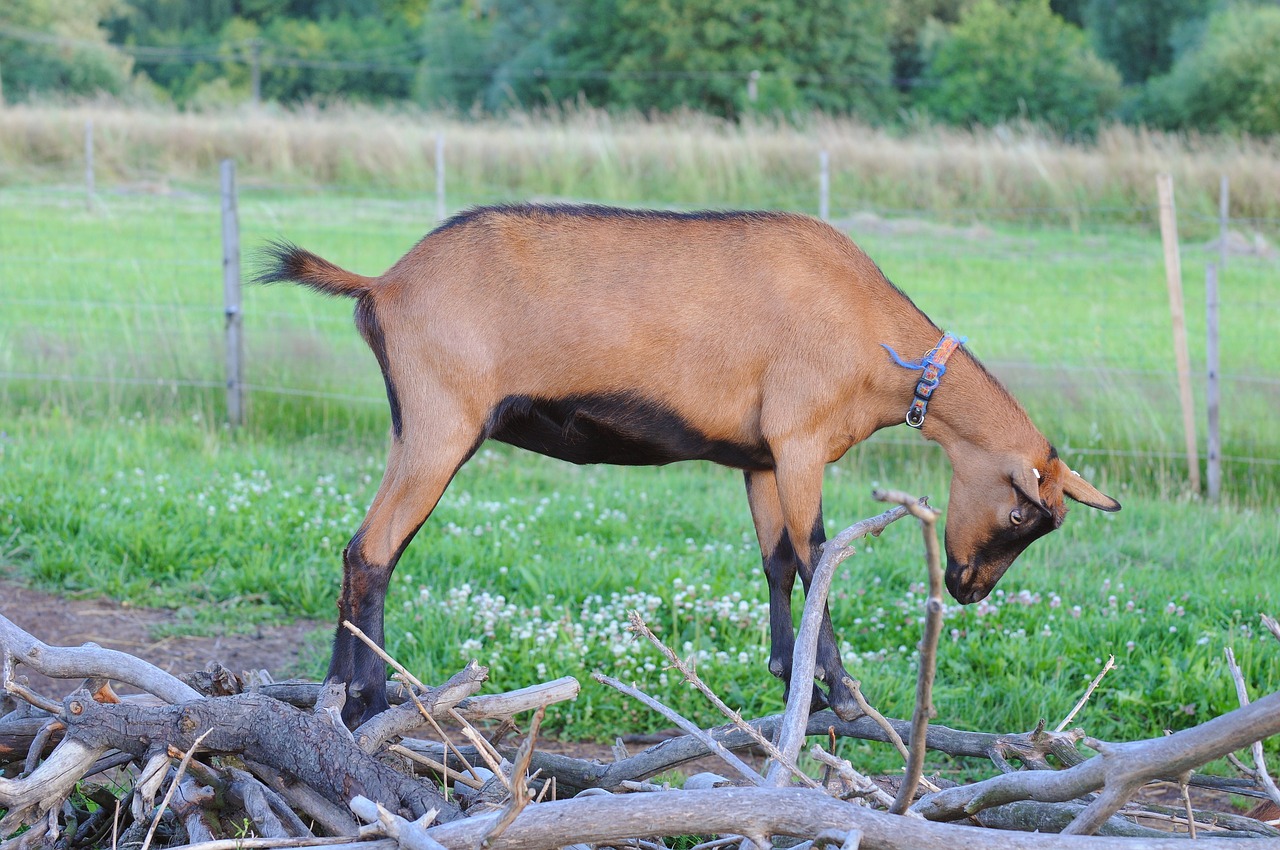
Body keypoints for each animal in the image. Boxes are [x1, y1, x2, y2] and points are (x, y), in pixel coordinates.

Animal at [259, 204, 1121, 721]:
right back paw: (368, 698)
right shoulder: (801, 440)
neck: (877, 338)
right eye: (1023, 510)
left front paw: (788, 674)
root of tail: (383, 282)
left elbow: (777, 561)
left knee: (362, 546)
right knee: (374, 548)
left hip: (417, 427)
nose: (970, 588)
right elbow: (819, 555)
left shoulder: (762, 458)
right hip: (442, 425)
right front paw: (841, 693)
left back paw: (341, 694)